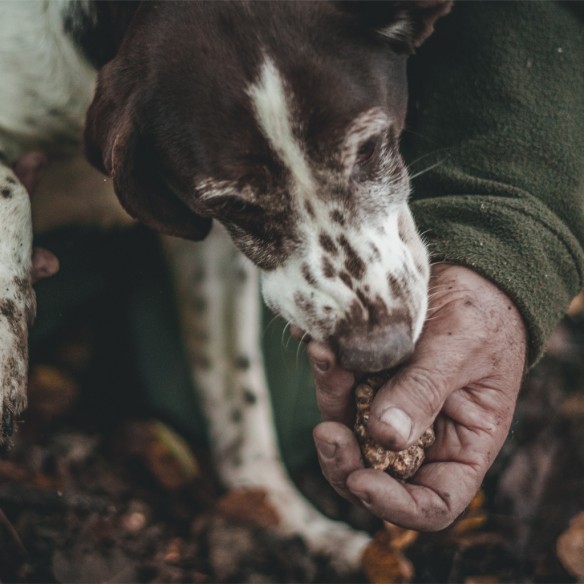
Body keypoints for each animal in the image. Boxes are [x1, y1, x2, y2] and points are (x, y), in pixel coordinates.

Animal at [0, 0, 450, 572]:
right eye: (235, 205)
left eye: (370, 148)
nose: (380, 351)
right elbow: (13, 187)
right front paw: (6, 352)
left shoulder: (209, 250)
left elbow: (239, 403)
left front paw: (290, 522)